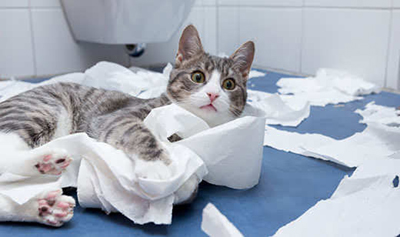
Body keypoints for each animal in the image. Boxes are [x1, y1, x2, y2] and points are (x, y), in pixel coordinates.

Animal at [0, 25, 255, 227]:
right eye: (198, 77)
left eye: (229, 84)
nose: (213, 94)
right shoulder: (116, 117)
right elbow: (139, 132)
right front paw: (158, 167)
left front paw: (185, 185)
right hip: (42, 108)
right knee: (7, 152)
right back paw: (47, 159)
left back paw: (44, 205)